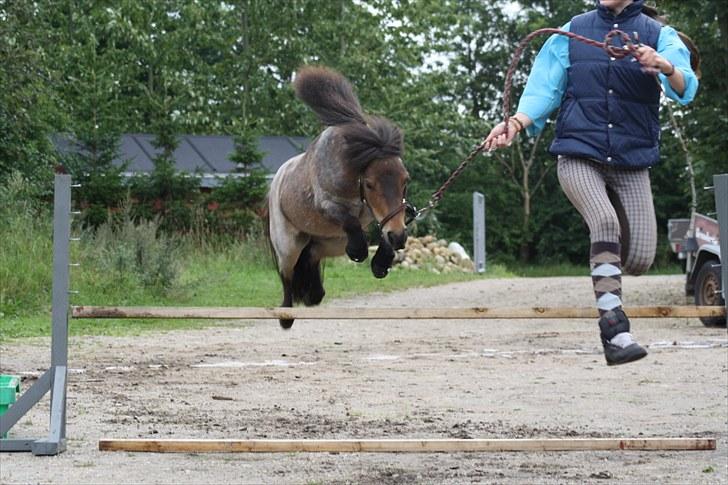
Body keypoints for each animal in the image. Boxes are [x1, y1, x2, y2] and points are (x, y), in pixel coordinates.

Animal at [266, 65, 410, 328]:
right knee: (287, 274)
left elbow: (384, 226)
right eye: (370, 184)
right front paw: (361, 252)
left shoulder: (377, 215)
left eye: (406, 180)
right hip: (288, 244)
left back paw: (314, 294)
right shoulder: (328, 206)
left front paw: (381, 262)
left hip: (330, 242)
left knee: (312, 255)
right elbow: (351, 222)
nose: (399, 237)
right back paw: (286, 316)